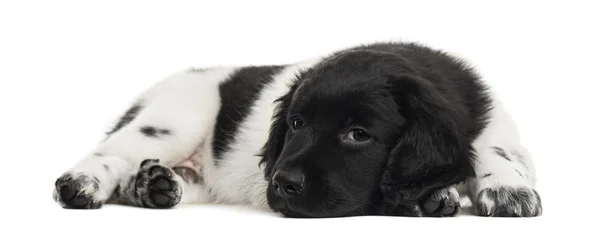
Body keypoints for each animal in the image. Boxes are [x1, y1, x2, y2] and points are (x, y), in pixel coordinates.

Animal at [52, 41, 544, 218]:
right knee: (111, 155)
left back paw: (153, 185)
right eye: (295, 124)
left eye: (358, 134)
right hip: (178, 118)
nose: (281, 183)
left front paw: (505, 187)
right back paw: (82, 184)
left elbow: (495, 152)